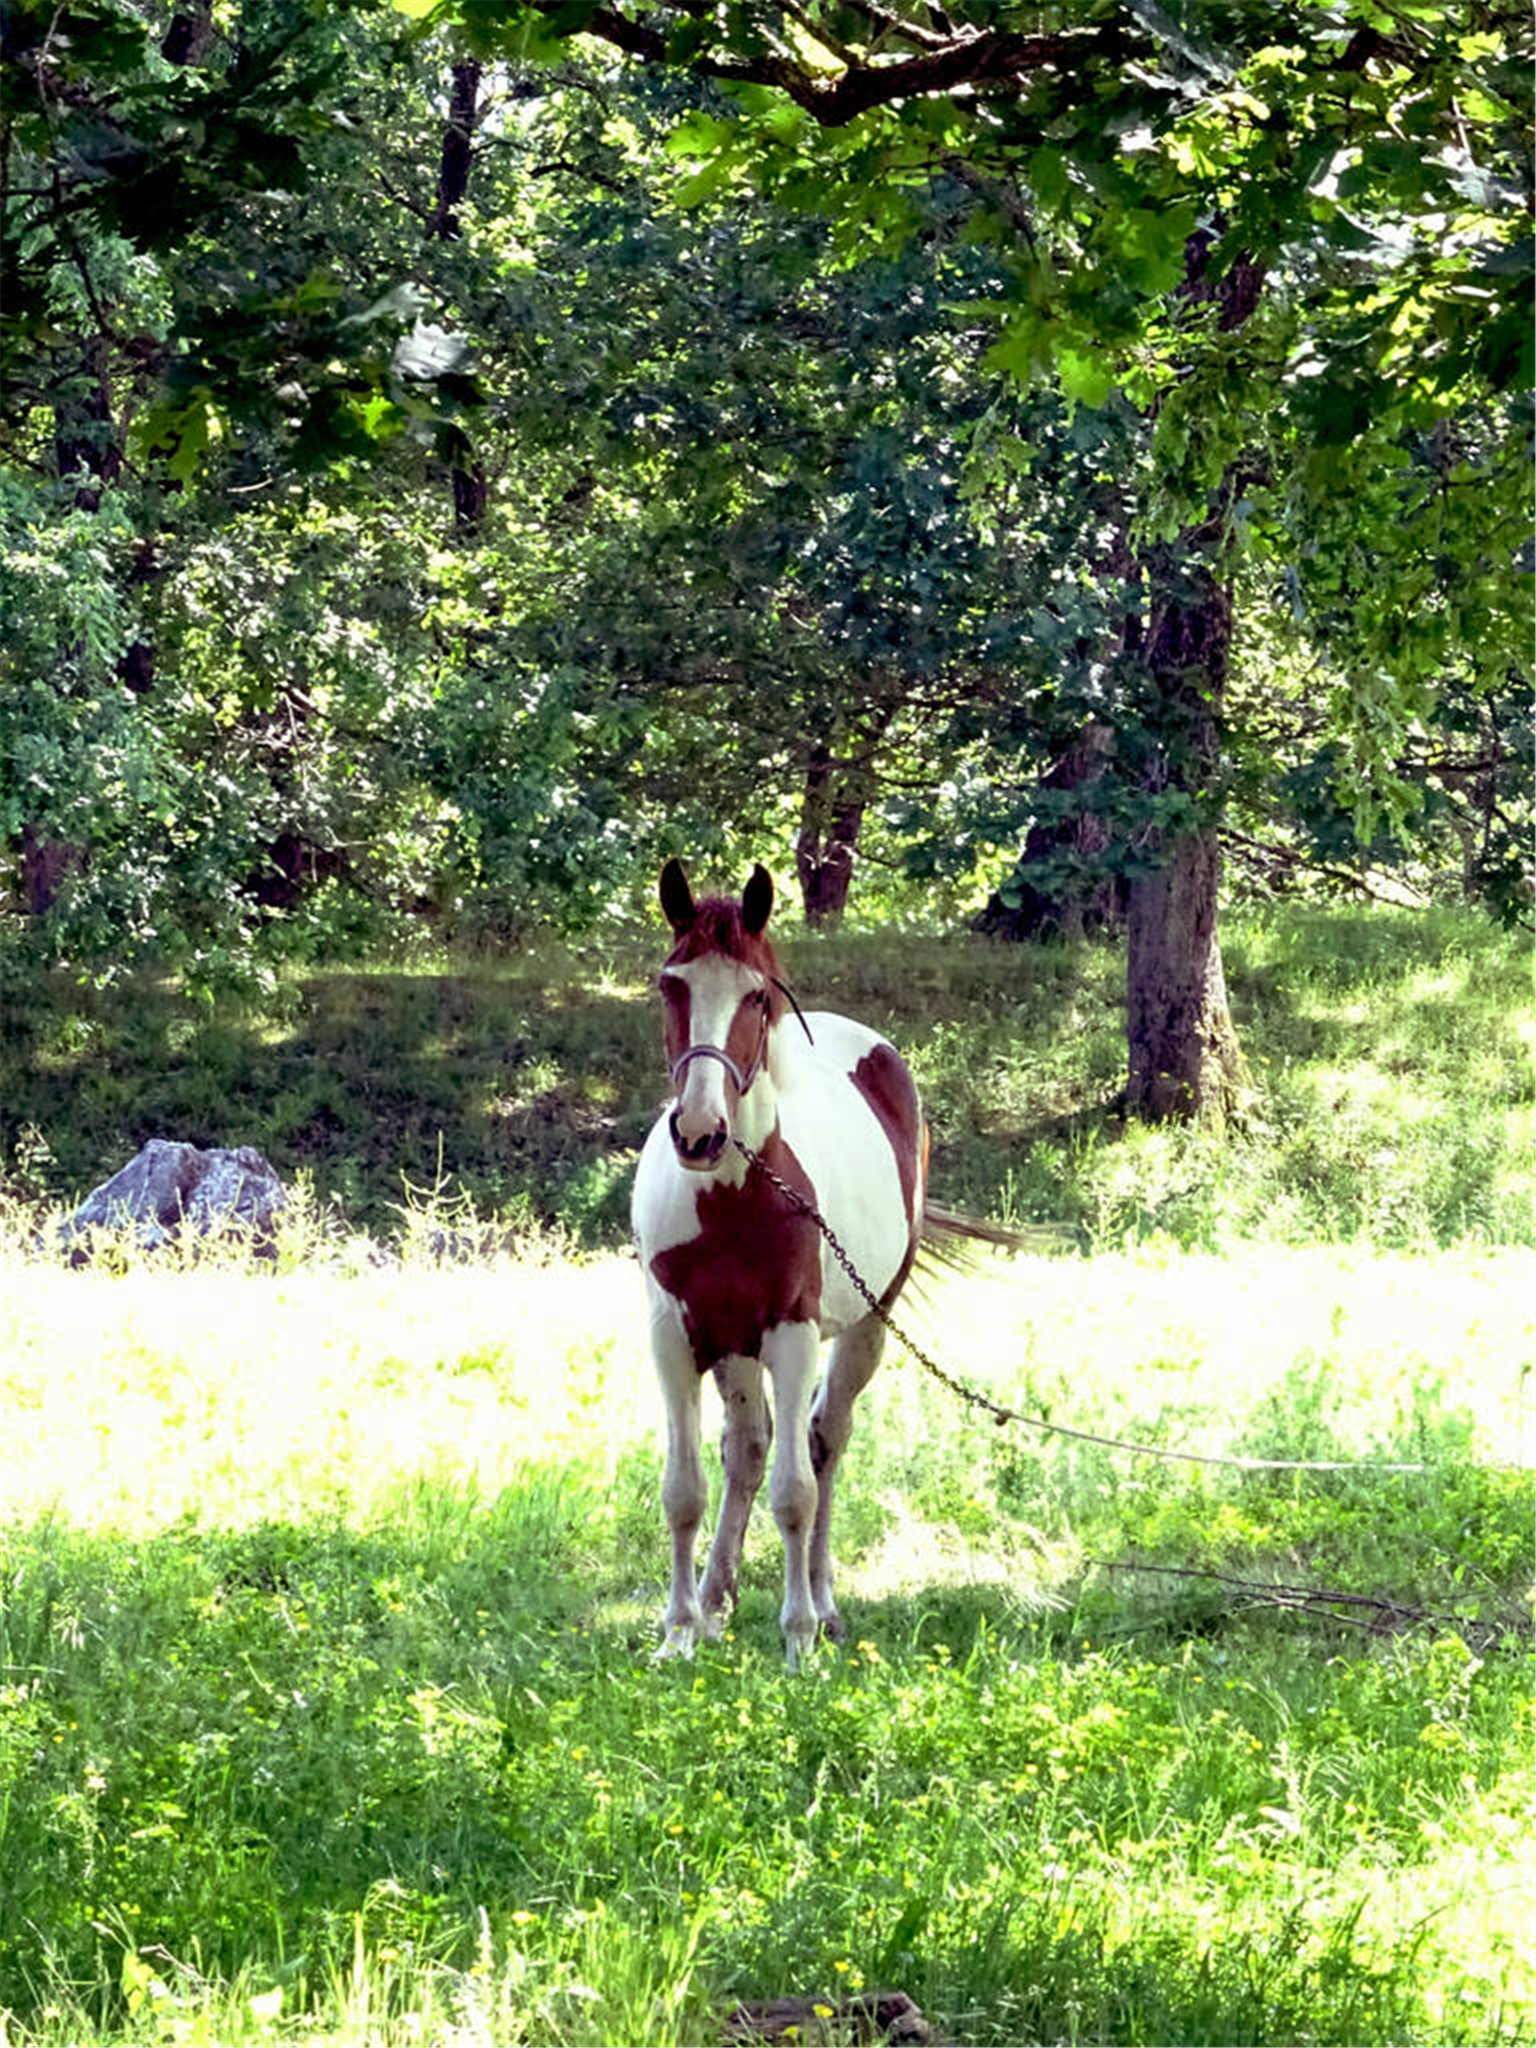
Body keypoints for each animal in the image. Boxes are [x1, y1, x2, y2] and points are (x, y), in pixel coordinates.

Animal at [634, 856, 933, 1671]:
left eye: (757, 996)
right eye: (670, 985)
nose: (699, 1132)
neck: (735, 1199)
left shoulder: (793, 1336)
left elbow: (795, 1492)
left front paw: (798, 1640)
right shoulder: (674, 1336)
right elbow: (684, 1489)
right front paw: (678, 1631)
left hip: (866, 1326)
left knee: (824, 1443)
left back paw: (824, 1606)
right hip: (734, 1348)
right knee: (748, 1449)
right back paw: (714, 1601)